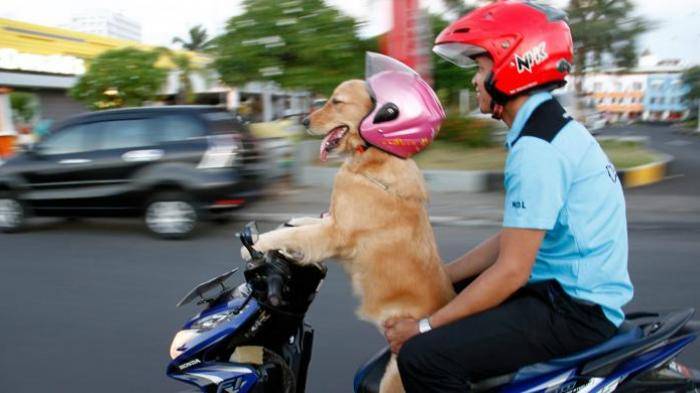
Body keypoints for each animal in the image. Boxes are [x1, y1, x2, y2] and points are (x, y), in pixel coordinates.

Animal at [247, 79, 454, 392]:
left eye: (337, 101)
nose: (303, 121)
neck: (371, 158)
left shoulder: (334, 234)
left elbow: (299, 233)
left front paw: (258, 243)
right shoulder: (331, 221)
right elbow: (300, 225)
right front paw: (283, 230)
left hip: (392, 382)